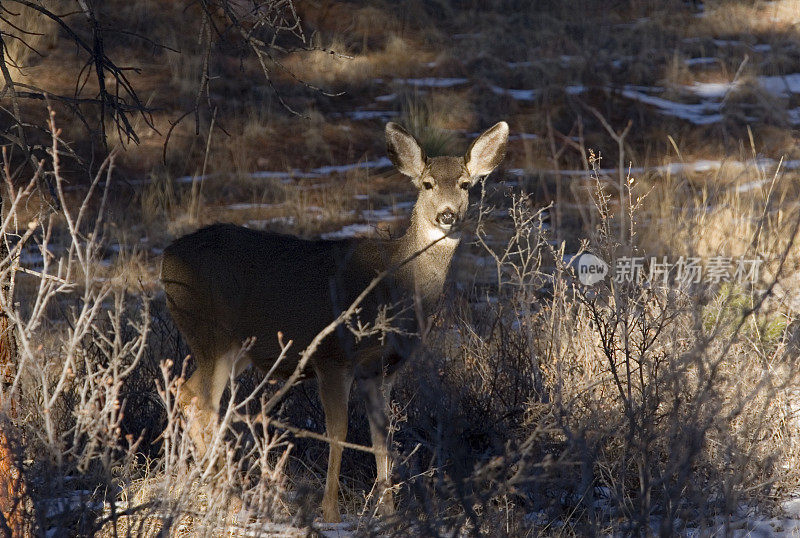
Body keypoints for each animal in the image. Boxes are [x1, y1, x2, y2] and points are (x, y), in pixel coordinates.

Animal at [160, 120, 510, 520]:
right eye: (427, 184)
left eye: (466, 184)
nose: (448, 215)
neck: (396, 284)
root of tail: (165, 260)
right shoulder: (331, 356)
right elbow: (338, 431)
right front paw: (330, 511)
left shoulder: (381, 369)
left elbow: (382, 436)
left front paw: (388, 509)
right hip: (212, 336)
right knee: (201, 403)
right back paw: (232, 498)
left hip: (231, 349)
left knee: (189, 394)